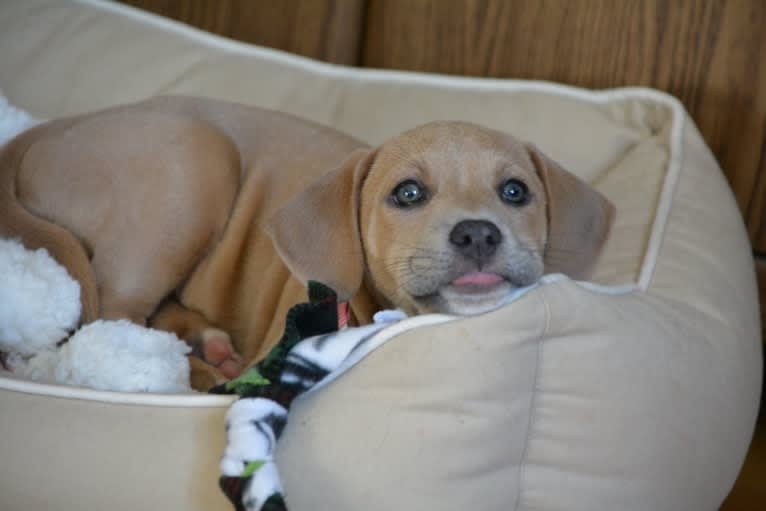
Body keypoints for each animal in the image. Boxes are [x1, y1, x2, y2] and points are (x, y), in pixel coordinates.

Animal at [0, 96, 616, 390]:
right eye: (408, 193)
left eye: (515, 191)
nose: (478, 232)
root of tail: (48, 130)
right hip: (194, 159)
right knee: (111, 320)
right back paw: (186, 372)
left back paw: (206, 345)